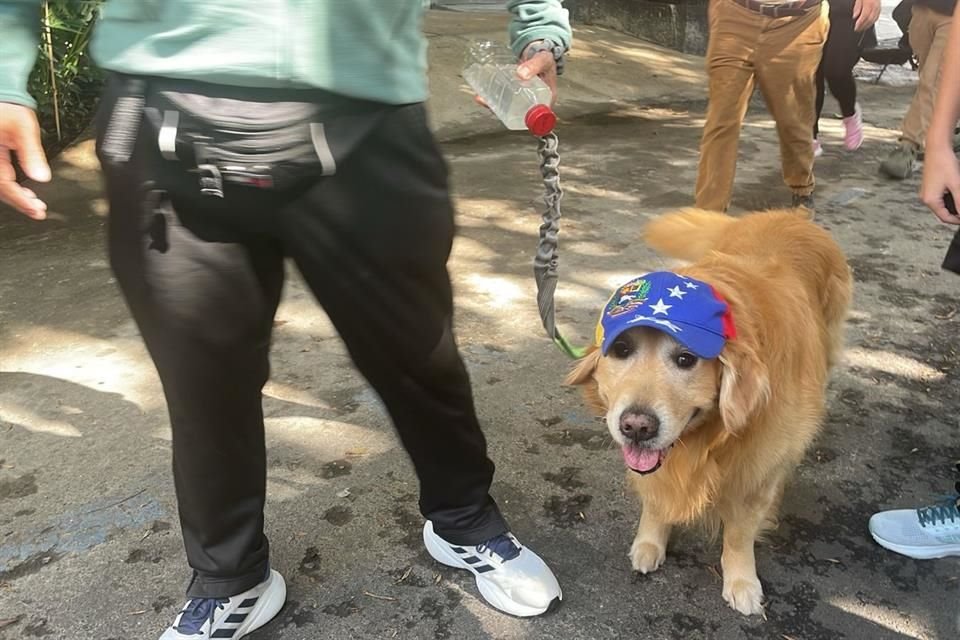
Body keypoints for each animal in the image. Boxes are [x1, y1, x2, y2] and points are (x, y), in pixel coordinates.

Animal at [568, 209, 852, 616]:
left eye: (686, 359)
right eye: (621, 350)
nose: (636, 426)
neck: (708, 439)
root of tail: (792, 215)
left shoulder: (756, 474)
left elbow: (738, 534)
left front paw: (741, 580)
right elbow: (656, 500)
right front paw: (650, 542)